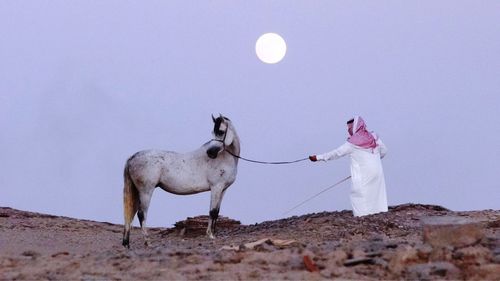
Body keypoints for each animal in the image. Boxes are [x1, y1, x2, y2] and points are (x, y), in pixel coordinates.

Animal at [120, 114, 238, 247]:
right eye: (213, 132)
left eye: (221, 131)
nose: (210, 153)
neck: (224, 158)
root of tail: (132, 157)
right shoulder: (216, 187)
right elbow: (212, 212)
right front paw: (210, 235)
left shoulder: (223, 189)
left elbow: (216, 212)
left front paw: (213, 234)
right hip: (146, 191)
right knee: (141, 214)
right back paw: (147, 242)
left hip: (137, 191)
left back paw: (127, 243)